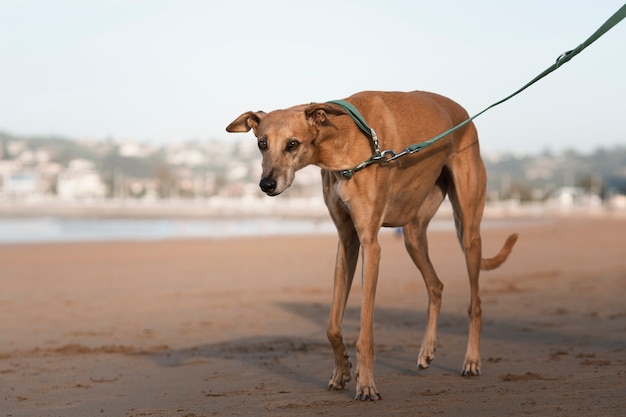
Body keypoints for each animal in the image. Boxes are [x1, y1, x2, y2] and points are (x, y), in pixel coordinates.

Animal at [225, 91, 516, 400]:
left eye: (292, 144)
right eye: (262, 144)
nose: (266, 184)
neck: (345, 142)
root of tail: (463, 115)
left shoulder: (370, 244)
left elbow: (365, 331)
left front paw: (365, 384)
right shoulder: (346, 240)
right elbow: (332, 326)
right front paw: (341, 371)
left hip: (468, 231)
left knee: (475, 303)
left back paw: (471, 361)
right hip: (413, 233)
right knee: (435, 285)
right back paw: (427, 351)